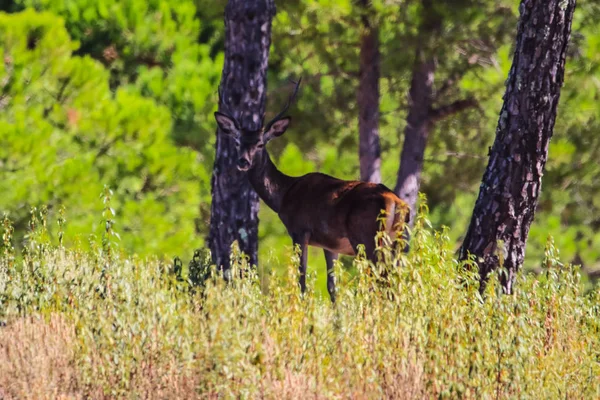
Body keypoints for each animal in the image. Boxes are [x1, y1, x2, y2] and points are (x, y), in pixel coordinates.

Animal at [213, 79, 410, 304]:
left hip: (369, 237)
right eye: (237, 142)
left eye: (260, 143)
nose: (243, 161)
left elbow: (302, 279)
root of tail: (396, 202)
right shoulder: (330, 245)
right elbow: (332, 287)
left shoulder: (300, 230)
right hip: (396, 240)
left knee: (382, 281)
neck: (284, 195)